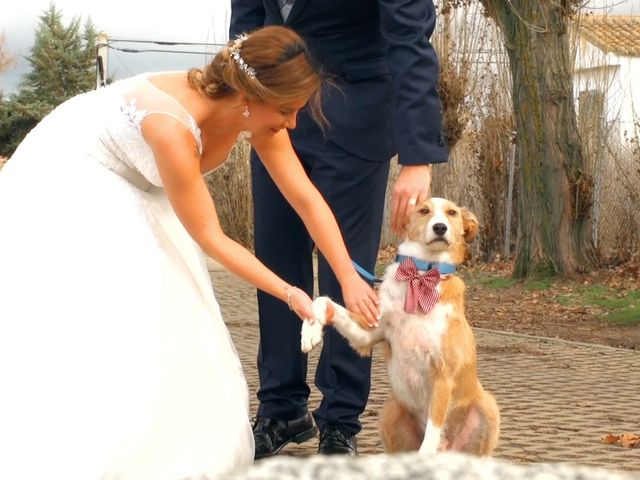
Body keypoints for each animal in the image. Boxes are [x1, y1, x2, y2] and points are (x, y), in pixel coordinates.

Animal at [304, 197, 500, 456]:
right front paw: (309, 331)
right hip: (391, 412)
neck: (421, 275)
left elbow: (431, 435)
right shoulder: (366, 335)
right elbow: (324, 300)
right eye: (424, 210)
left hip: (487, 407)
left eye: (452, 213)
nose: (440, 227)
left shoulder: (442, 374)